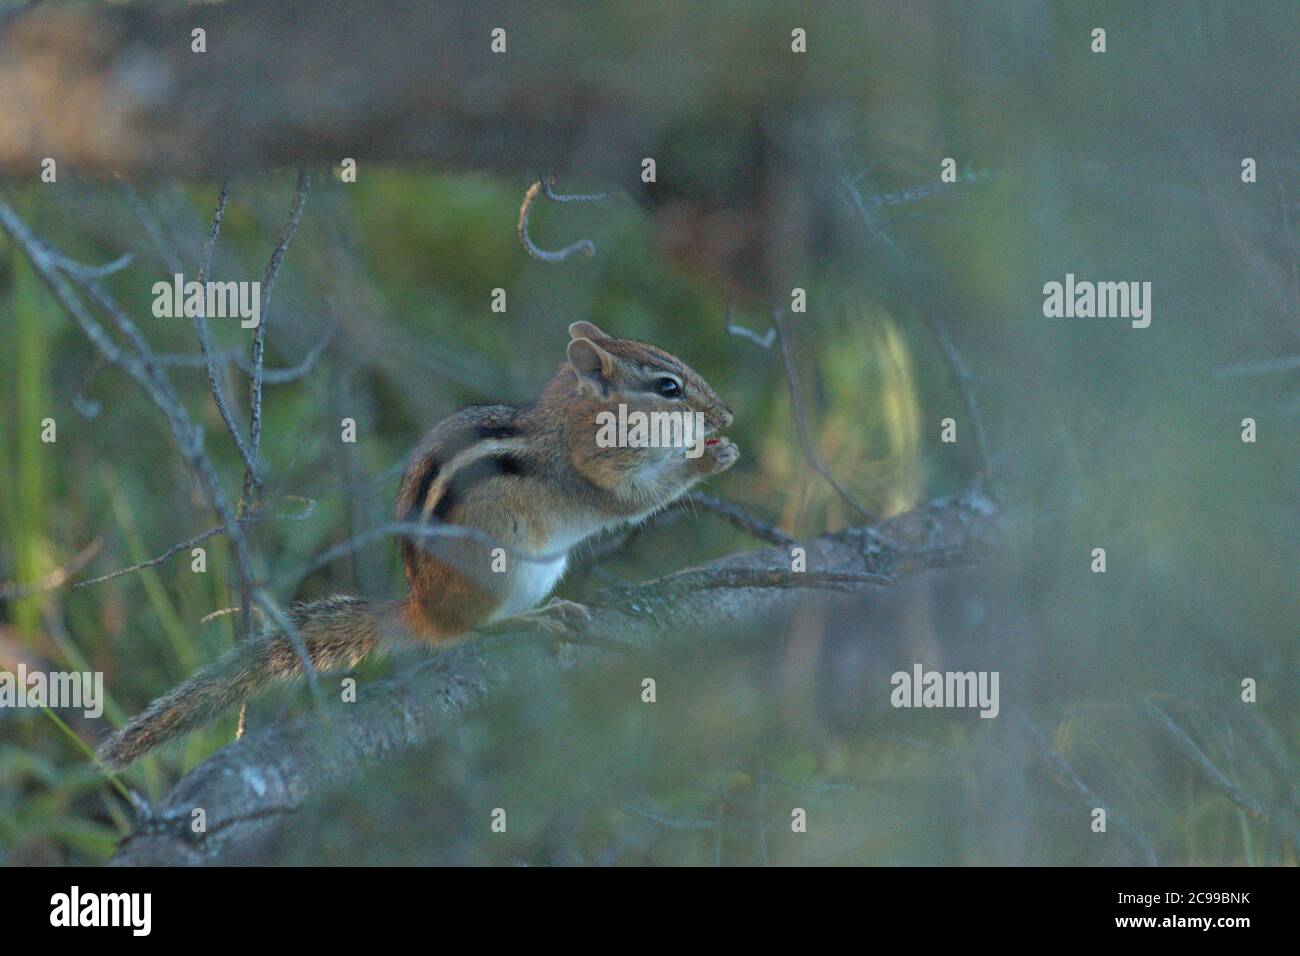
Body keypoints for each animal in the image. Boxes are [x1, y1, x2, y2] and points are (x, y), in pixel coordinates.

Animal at [97, 321, 738, 770]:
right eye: (669, 387)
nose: (725, 415)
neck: (577, 419)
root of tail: (421, 608)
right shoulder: (592, 475)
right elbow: (635, 501)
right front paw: (707, 458)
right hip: (499, 565)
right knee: (472, 631)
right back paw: (529, 621)